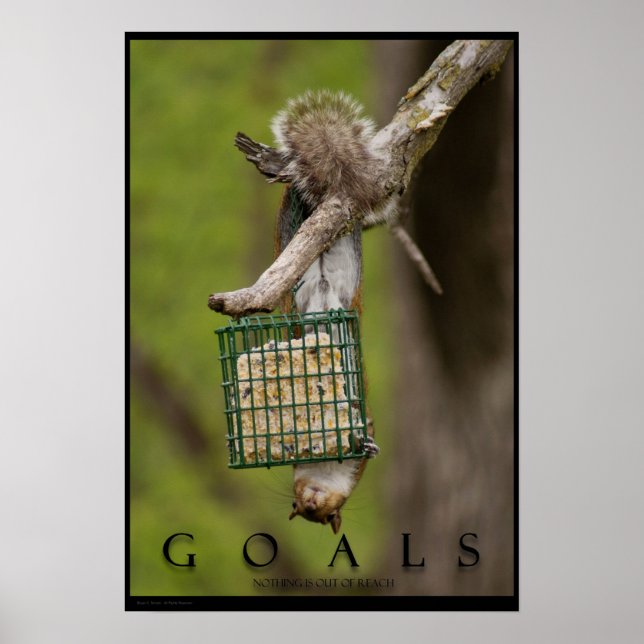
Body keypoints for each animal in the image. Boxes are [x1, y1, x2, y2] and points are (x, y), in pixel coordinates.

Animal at [267, 90, 395, 533]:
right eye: (299, 506)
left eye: (322, 517)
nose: (306, 503)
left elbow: (365, 432)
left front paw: (368, 445)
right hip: (305, 258)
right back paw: (296, 186)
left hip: (348, 263)